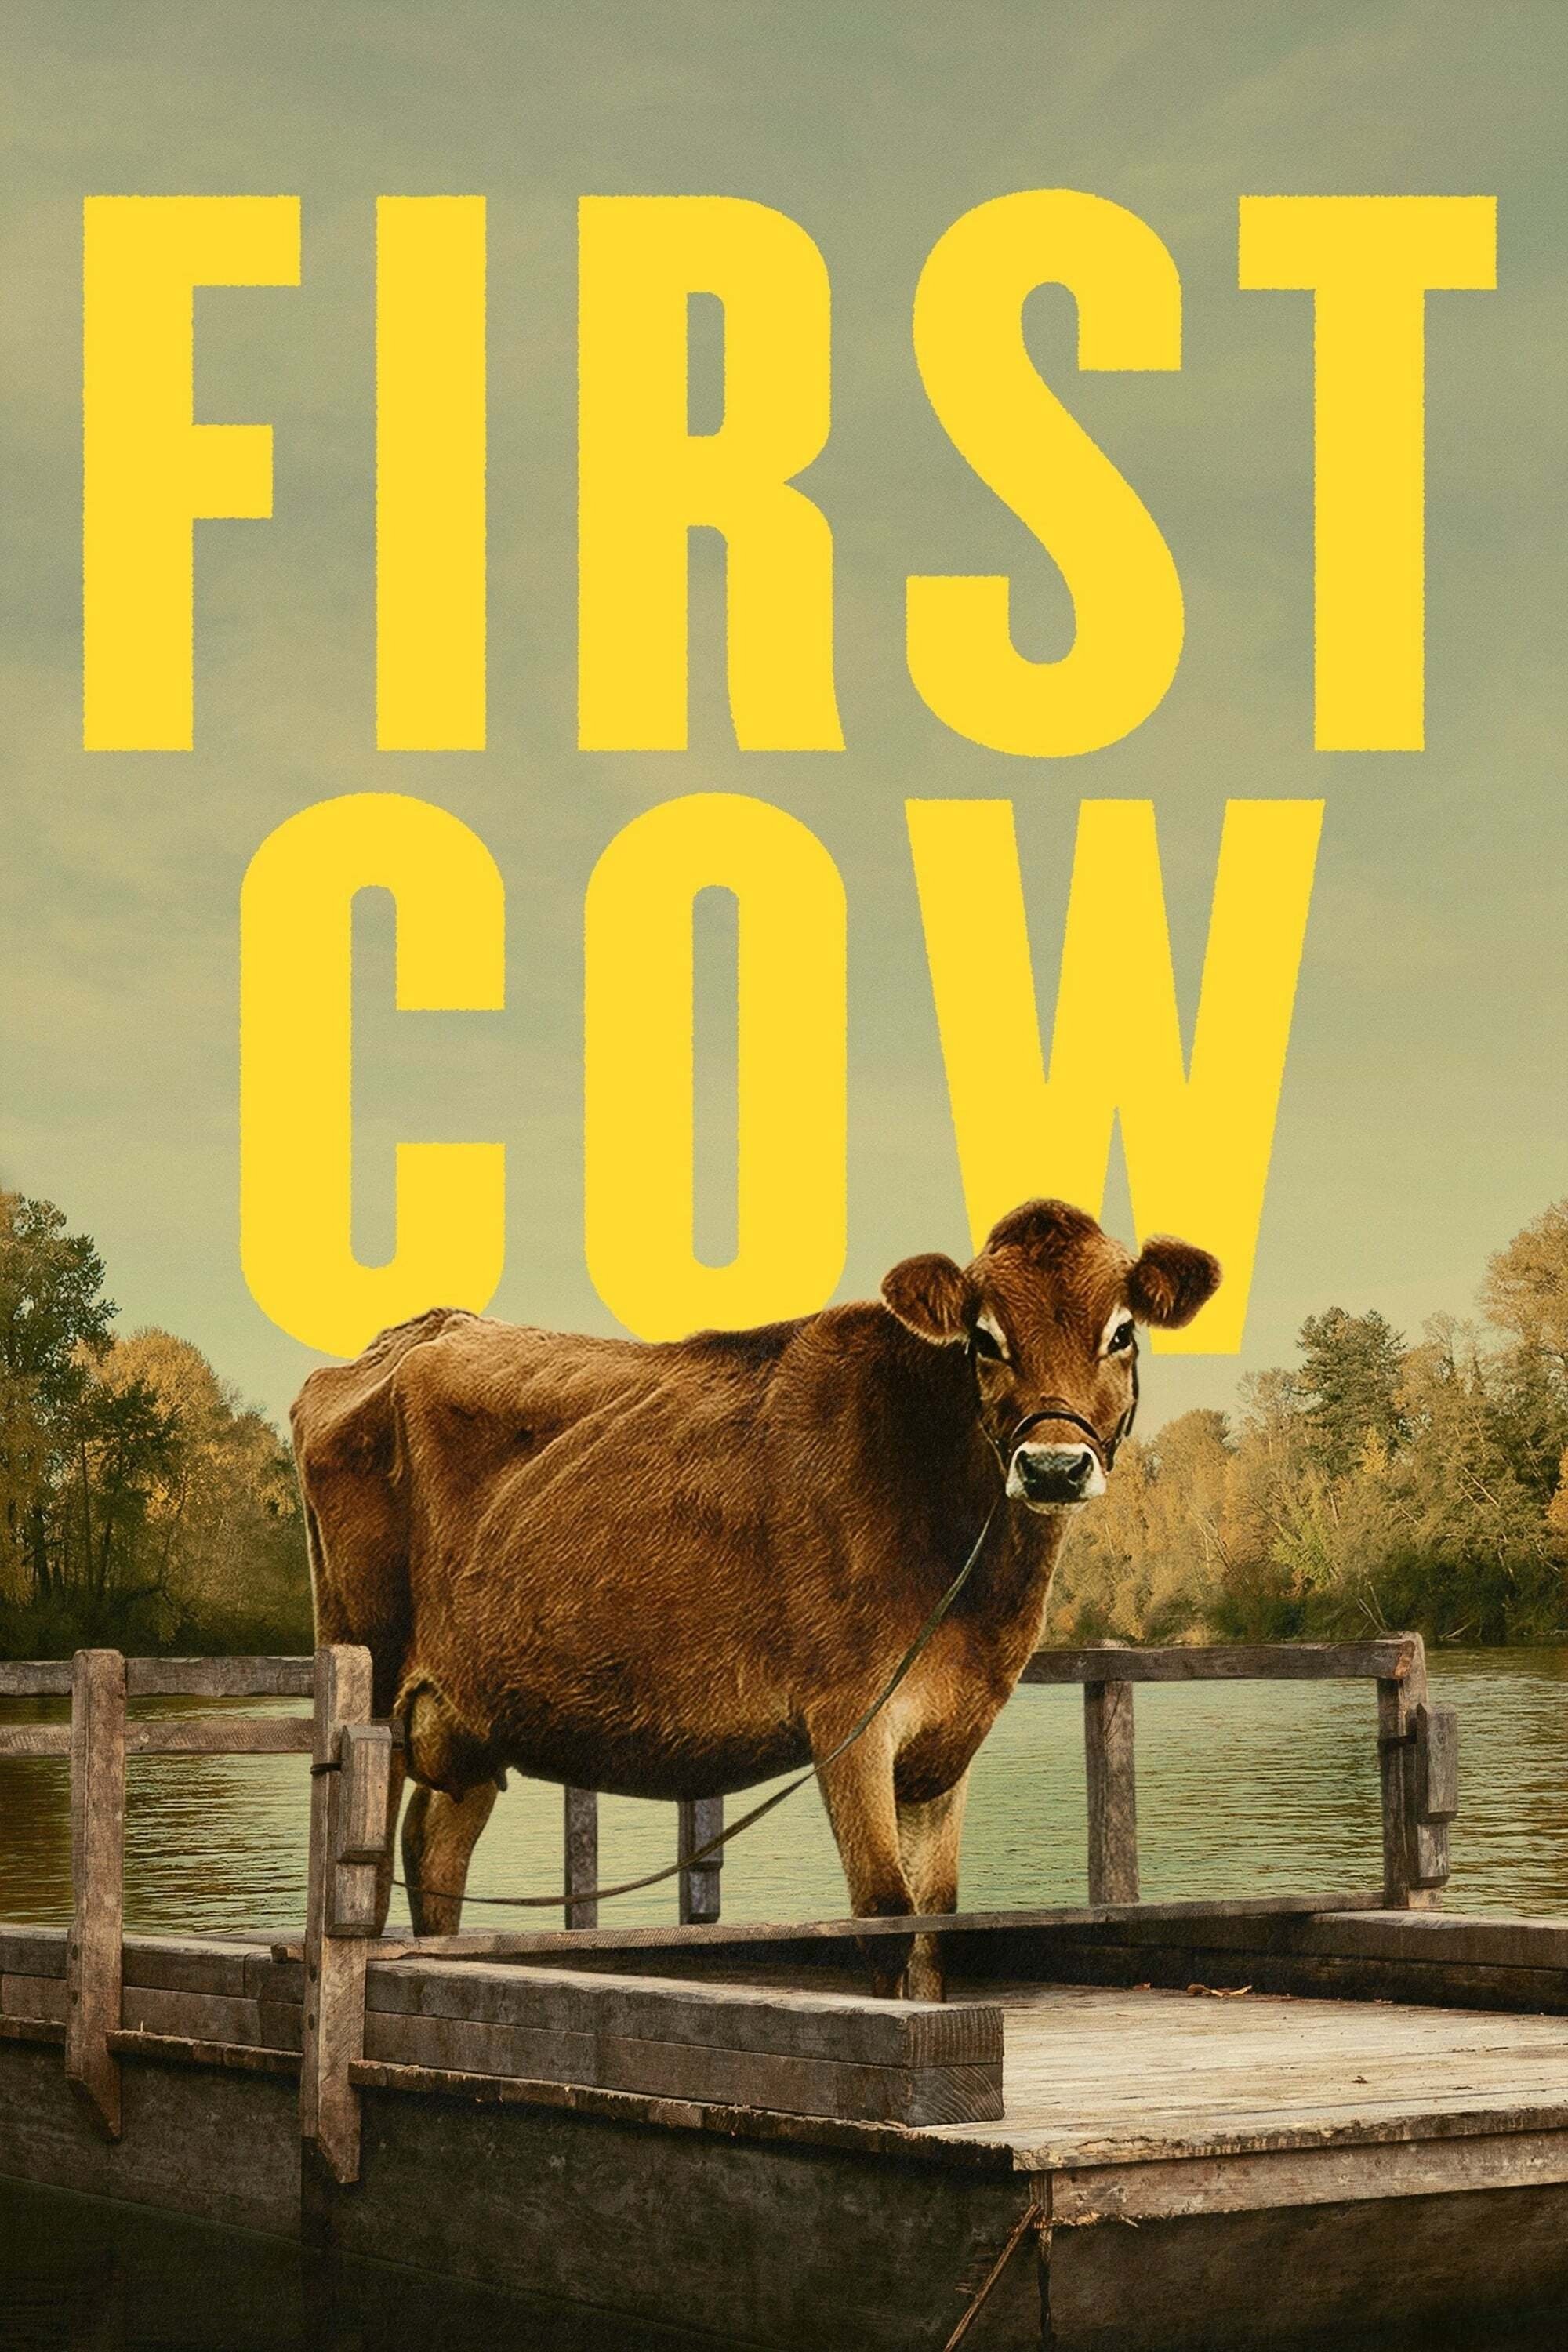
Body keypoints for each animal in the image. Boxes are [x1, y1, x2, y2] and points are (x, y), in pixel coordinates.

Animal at [291, 1198, 1219, 1998]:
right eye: (984, 1338)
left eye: (1121, 1331)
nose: (1053, 1467)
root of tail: (412, 1335)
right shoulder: (850, 1717)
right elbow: (883, 1916)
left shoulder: (947, 1737)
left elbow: (934, 1925)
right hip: (370, 1672)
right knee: (362, 1871)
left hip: (473, 1713)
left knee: (435, 1851)